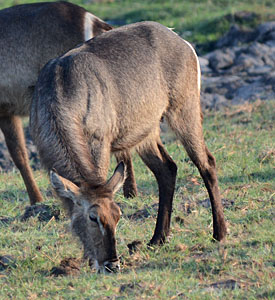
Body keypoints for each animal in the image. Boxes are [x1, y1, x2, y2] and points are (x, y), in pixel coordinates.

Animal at [30, 22, 229, 274]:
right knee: (167, 168)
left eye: (117, 216)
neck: (59, 97)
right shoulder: (45, 155)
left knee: (207, 162)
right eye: (93, 218)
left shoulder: (100, 141)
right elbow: (68, 202)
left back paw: (219, 233)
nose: (112, 264)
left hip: (184, 108)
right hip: (146, 130)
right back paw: (157, 239)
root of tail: (182, 41)